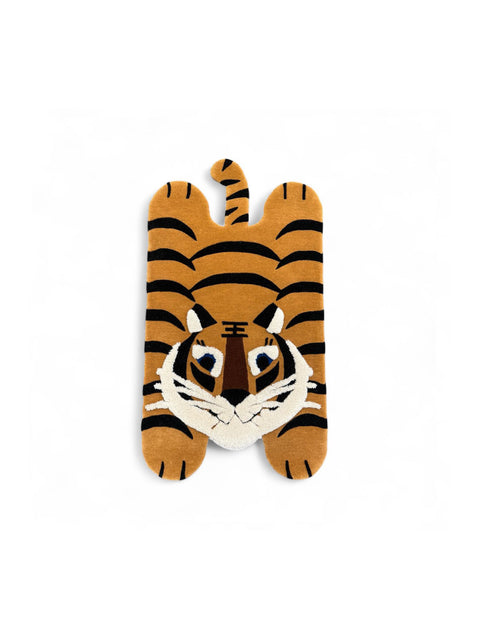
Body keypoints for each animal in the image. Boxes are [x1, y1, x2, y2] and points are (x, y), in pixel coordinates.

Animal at [142, 159, 327, 480]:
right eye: (207, 361)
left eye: (262, 361)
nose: (235, 396)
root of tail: (234, 228)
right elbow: (170, 421)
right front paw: (172, 457)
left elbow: (300, 421)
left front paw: (297, 458)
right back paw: (179, 191)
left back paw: (294, 192)